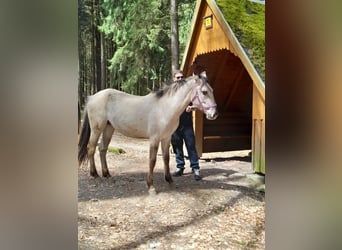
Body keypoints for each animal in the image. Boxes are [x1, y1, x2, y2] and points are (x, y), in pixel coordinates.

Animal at [78, 71, 218, 192]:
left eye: (212, 90)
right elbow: (152, 160)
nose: (214, 114)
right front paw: (150, 185)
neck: (165, 107)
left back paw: (106, 174)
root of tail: (92, 97)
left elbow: (166, 159)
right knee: (91, 148)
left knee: (102, 149)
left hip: (109, 128)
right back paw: (94, 174)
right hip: (97, 128)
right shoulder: (154, 138)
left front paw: (169, 181)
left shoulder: (166, 138)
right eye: (204, 92)